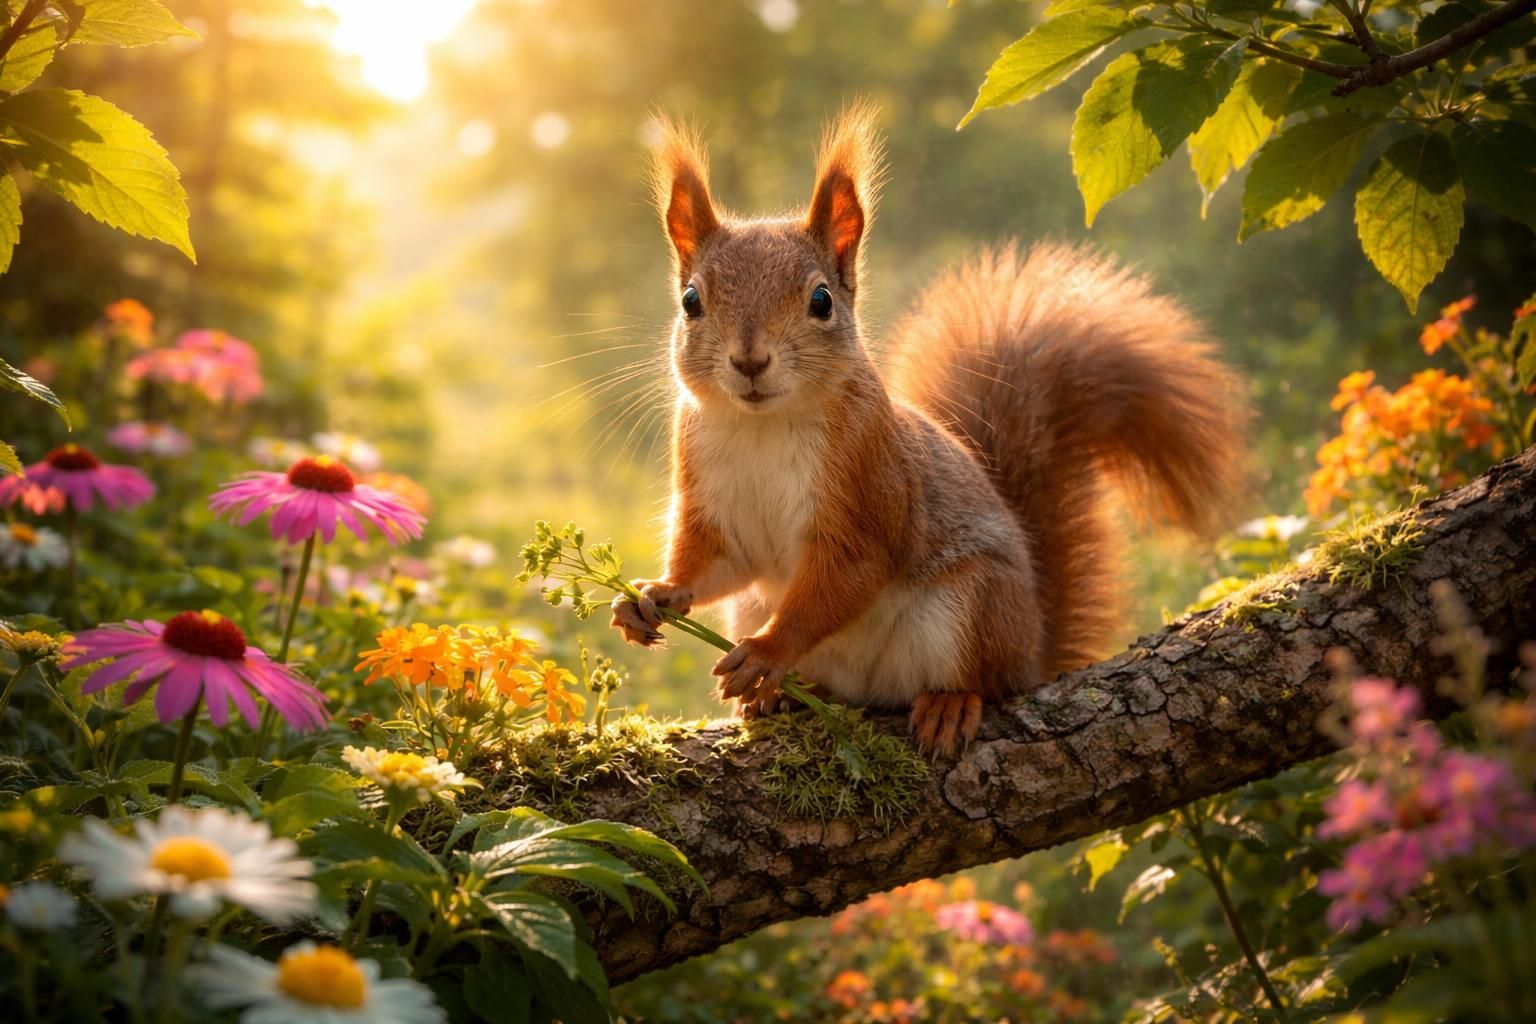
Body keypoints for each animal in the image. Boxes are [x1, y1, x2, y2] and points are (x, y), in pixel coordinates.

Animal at [610, 104, 1249, 756]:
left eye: (822, 301)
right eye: (691, 300)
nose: (749, 361)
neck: (763, 426)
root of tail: (1033, 649)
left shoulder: (870, 489)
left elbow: (844, 579)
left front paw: (767, 651)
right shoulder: (712, 495)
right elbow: (715, 561)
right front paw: (654, 596)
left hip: (970, 606)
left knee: (982, 679)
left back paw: (947, 703)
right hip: (771, 610)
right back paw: (785, 697)